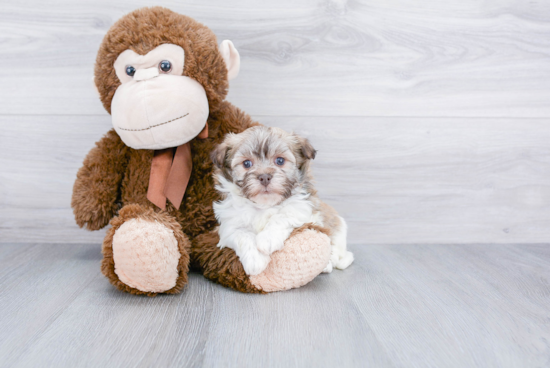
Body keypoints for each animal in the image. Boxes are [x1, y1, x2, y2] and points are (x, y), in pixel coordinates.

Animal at [211, 125, 354, 274]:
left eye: (280, 161)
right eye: (247, 163)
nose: (264, 177)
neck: (264, 205)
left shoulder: (302, 206)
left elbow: (283, 215)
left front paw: (267, 239)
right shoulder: (229, 225)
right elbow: (242, 234)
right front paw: (254, 260)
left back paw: (328, 264)